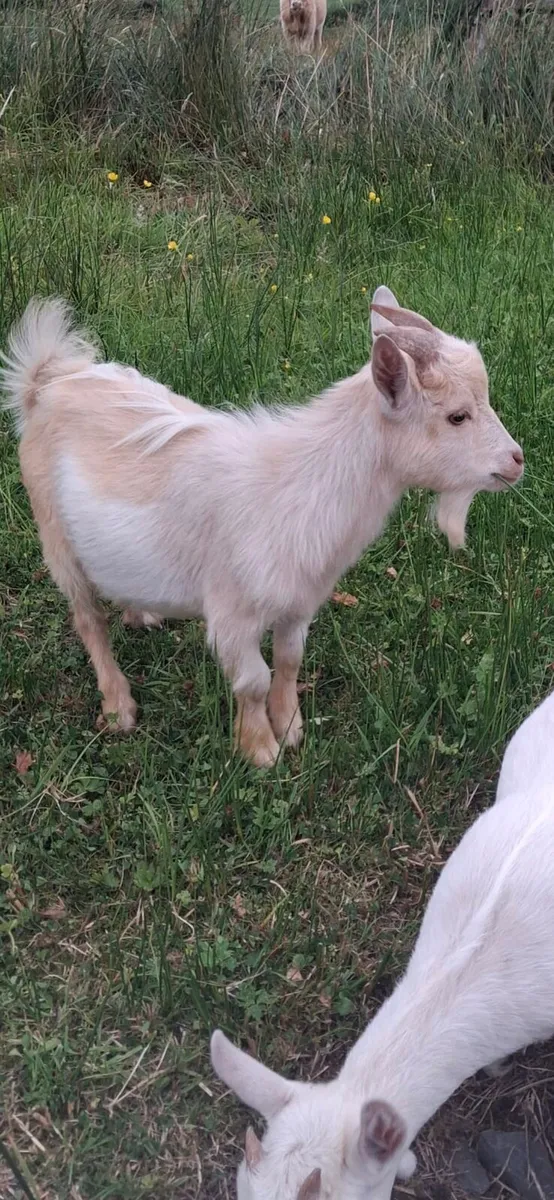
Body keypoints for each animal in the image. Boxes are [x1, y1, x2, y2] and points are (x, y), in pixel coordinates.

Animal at [1, 288, 523, 767]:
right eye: (457, 415)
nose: (516, 461)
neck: (300, 483)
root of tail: (45, 384)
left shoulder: (300, 600)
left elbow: (289, 661)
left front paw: (289, 726)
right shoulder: (232, 613)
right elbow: (252, 680)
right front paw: (260, 749)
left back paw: (142, 614)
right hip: (56, 537)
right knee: (88, 618)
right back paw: (118, 706)